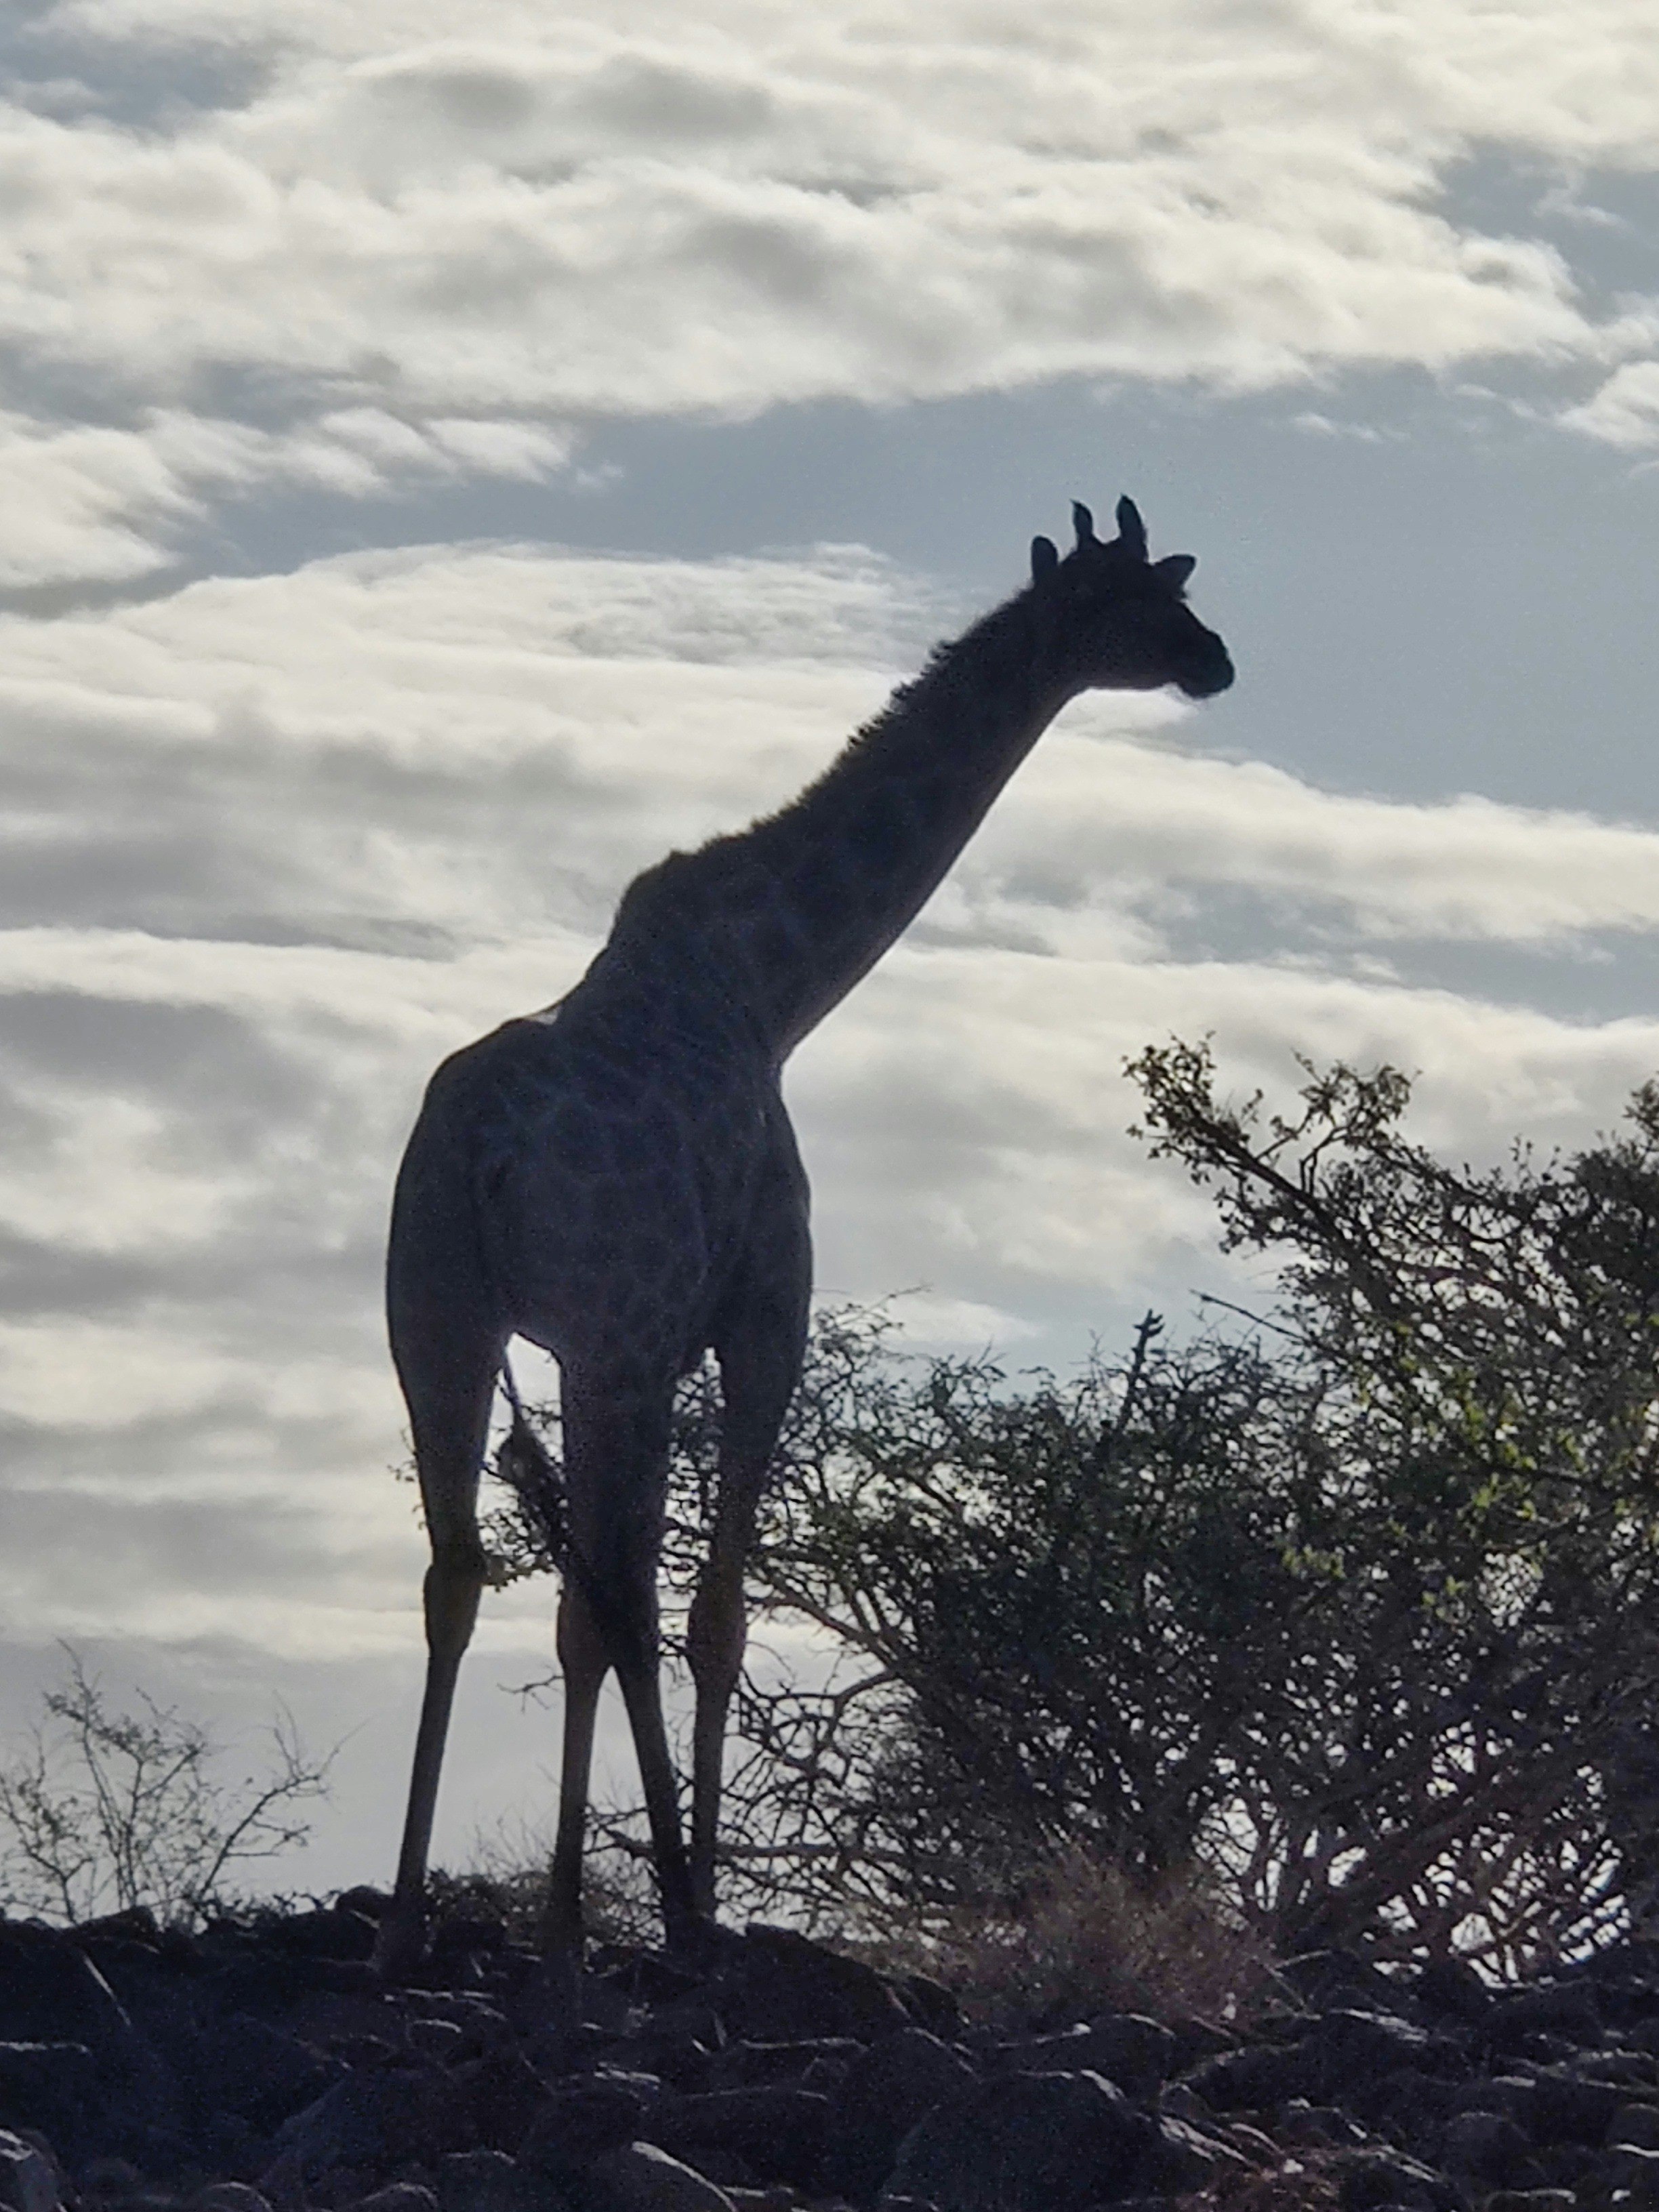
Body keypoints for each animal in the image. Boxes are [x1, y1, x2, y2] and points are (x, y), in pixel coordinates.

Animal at [372, 496, 1233, 1976]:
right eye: (1153, 602)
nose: (1217, 661)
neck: (776, 988)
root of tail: (478, 1156)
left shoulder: (595, 1339)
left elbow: (593, 1601)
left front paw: (603, 1902)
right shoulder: (751, 1319)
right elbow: (714, 1612)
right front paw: (682, 1897)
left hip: (436, 1322)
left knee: (468, 1572)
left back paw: (416, 1913)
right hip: (607, 1337)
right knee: (619, 1596)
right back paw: (650, 1902)